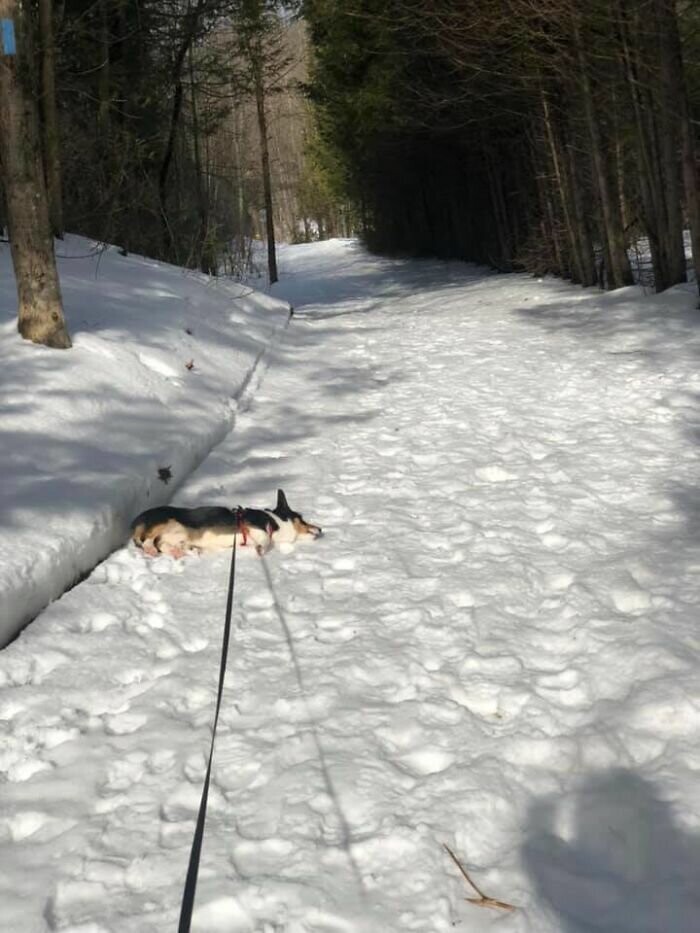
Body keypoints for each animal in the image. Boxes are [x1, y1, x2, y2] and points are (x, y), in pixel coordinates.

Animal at [130, 492, 322, 556]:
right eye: (302, 519)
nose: (321, 529)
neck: (275, 521)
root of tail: (136, 520)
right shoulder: (255, 528)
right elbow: (265, 540)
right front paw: (261, 549)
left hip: (177, 535)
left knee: (162, 544)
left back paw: (179, 552)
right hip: (166, 521)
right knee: (146, 540)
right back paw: (151, 549)